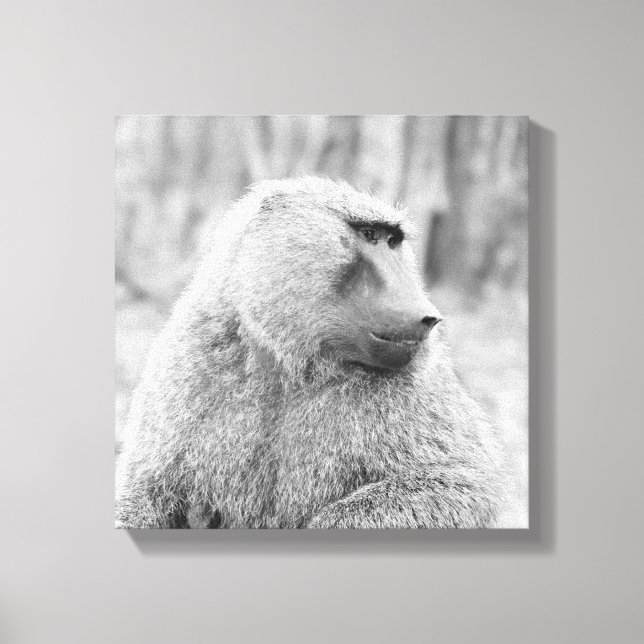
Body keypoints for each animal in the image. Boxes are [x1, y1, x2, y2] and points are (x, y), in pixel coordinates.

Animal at [115, 176, 502, 529]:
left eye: (393, 242)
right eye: (369, 235)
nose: (428, 317)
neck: (288, 363)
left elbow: (464, 487)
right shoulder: (188, 359)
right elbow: (147, 490)